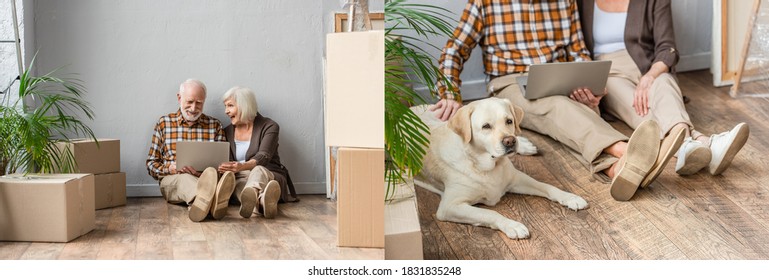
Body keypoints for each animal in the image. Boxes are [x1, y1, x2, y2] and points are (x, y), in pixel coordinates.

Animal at [414, 97, 588, 238]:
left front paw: (570, 198)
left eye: (509, 121)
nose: (510, 141)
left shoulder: (517, 178)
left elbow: (547, 186)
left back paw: (525, 146)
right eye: (486, 126)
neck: (486, 165)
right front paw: (512, 225)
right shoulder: (449, 207)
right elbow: (489, 213)